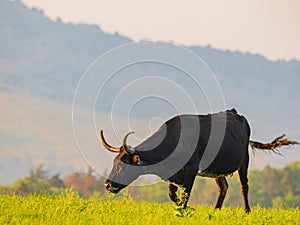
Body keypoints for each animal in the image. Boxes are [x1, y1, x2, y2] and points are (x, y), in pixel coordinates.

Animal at [99, 109, 298, 213]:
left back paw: (247, 211)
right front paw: (182, 209)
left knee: (244, 186)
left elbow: (186, 194)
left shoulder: (191, 170)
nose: (107, 185)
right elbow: (173, 195)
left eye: (123, 166)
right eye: (113, 163)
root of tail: (236, 114)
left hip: (244, 162)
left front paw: (184, 211)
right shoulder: (174, 173)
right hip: (217, 169)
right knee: (223, 187)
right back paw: (216, 211)